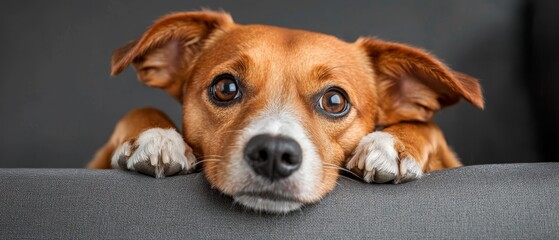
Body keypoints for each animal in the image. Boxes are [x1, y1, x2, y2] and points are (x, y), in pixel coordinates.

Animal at [88, 10, 486, 213]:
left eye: (335, 101)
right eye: (225, 87)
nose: (274, 154)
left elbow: (429, 127)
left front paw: (392, 143)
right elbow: (139, 108)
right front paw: (156, 137)